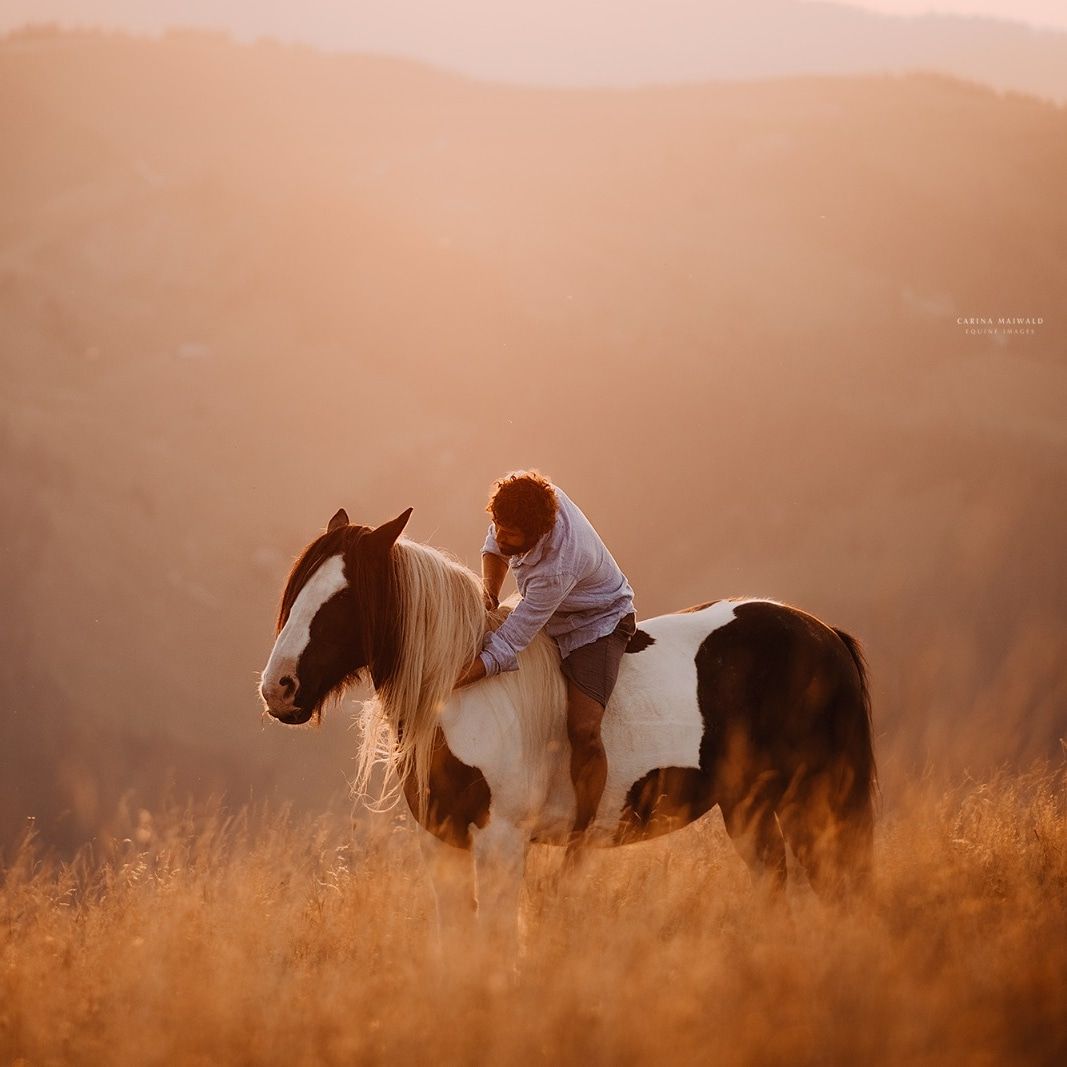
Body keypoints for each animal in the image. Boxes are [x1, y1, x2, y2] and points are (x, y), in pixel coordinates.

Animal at [258, 507, 874, 934]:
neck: (461, 693)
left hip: (814, 799)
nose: (277, 688)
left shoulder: (500, 842)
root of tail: (823, 634)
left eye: (342, 599)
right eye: (297, 590)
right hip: (753, 805)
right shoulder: (443, 843)